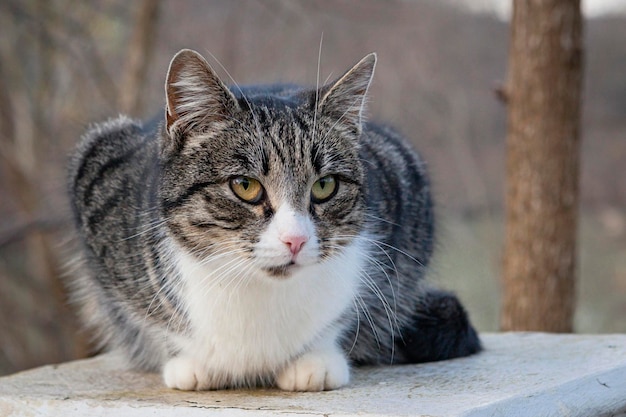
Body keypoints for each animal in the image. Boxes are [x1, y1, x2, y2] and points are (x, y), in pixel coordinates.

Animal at [67, 48, 478, 390]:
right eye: (245, 186)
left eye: (325, 185)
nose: (295, 240)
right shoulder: (96, 176)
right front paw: (191, 361)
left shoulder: (402, 184)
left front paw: (317, 358)